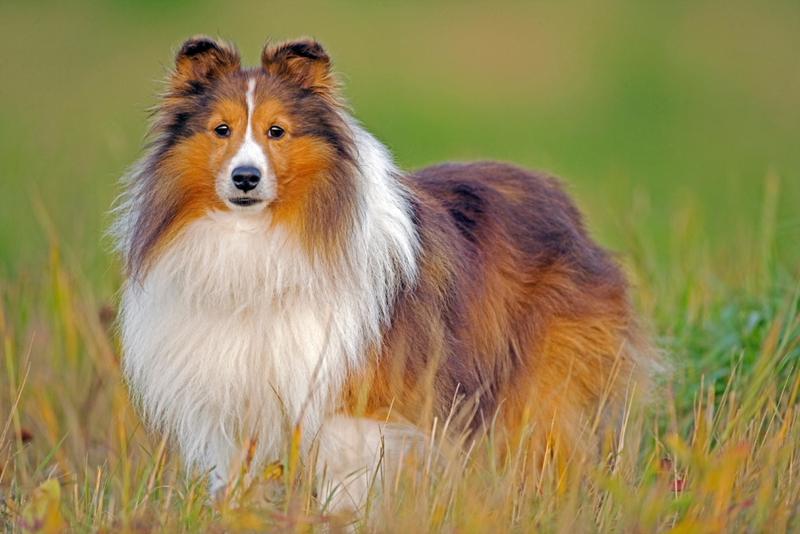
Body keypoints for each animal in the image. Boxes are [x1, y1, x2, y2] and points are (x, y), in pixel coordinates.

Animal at [112, 35, 660, 512]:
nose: (245, 178)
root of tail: (561, 200)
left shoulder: (351, 407)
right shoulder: (237, 409)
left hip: (540, 386)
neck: (257, 242)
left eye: (276, 131)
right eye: (221, 129)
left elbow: (346, 489)